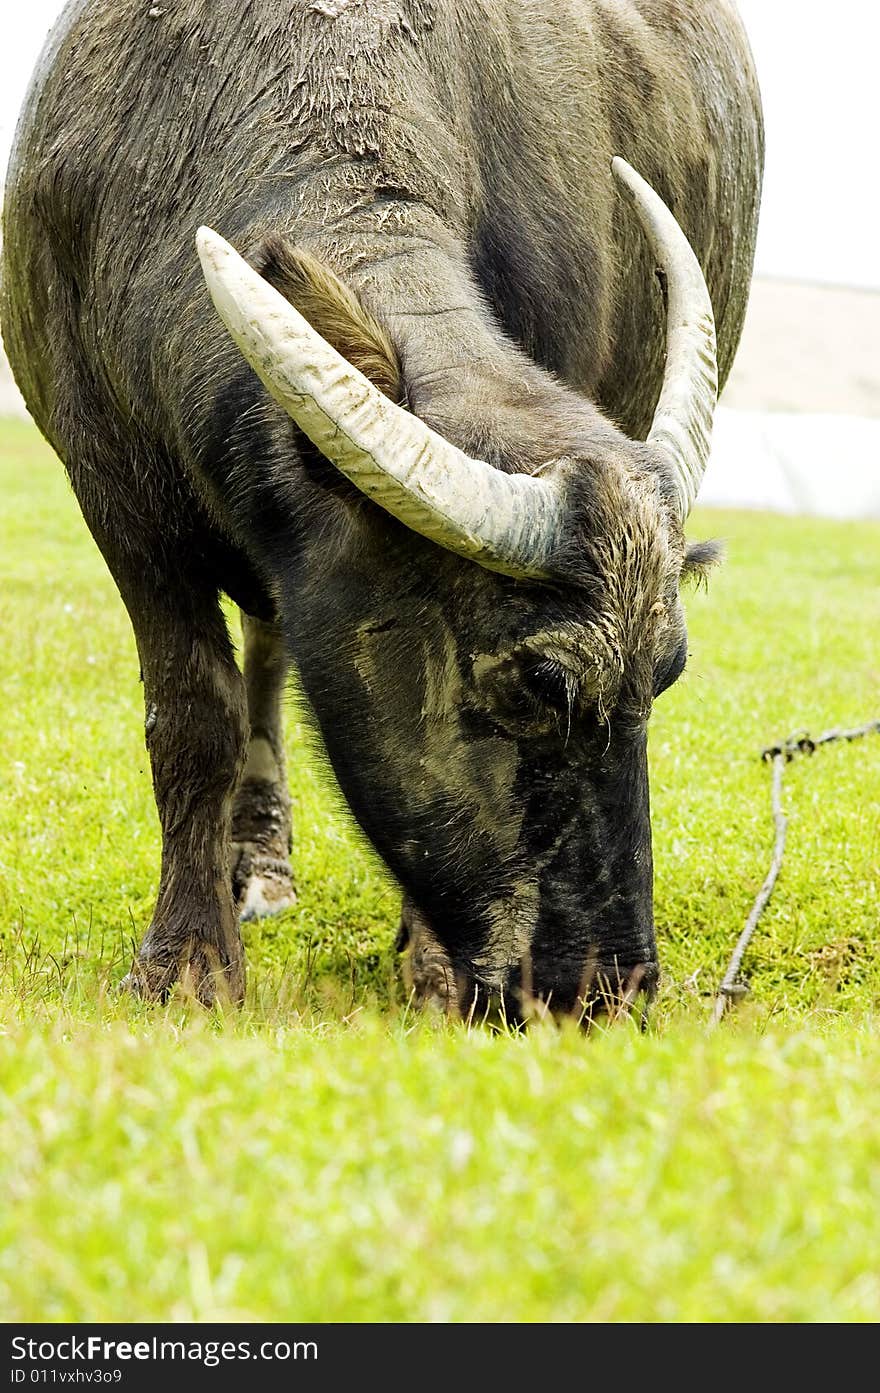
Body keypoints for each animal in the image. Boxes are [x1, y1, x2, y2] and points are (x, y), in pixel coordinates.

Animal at [0, 0, 757, 1014]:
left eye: (665, 676)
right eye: (536, 679)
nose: (607, 987)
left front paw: (430, 966)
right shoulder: (115, 494)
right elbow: (192, 713)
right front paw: (186, 962)